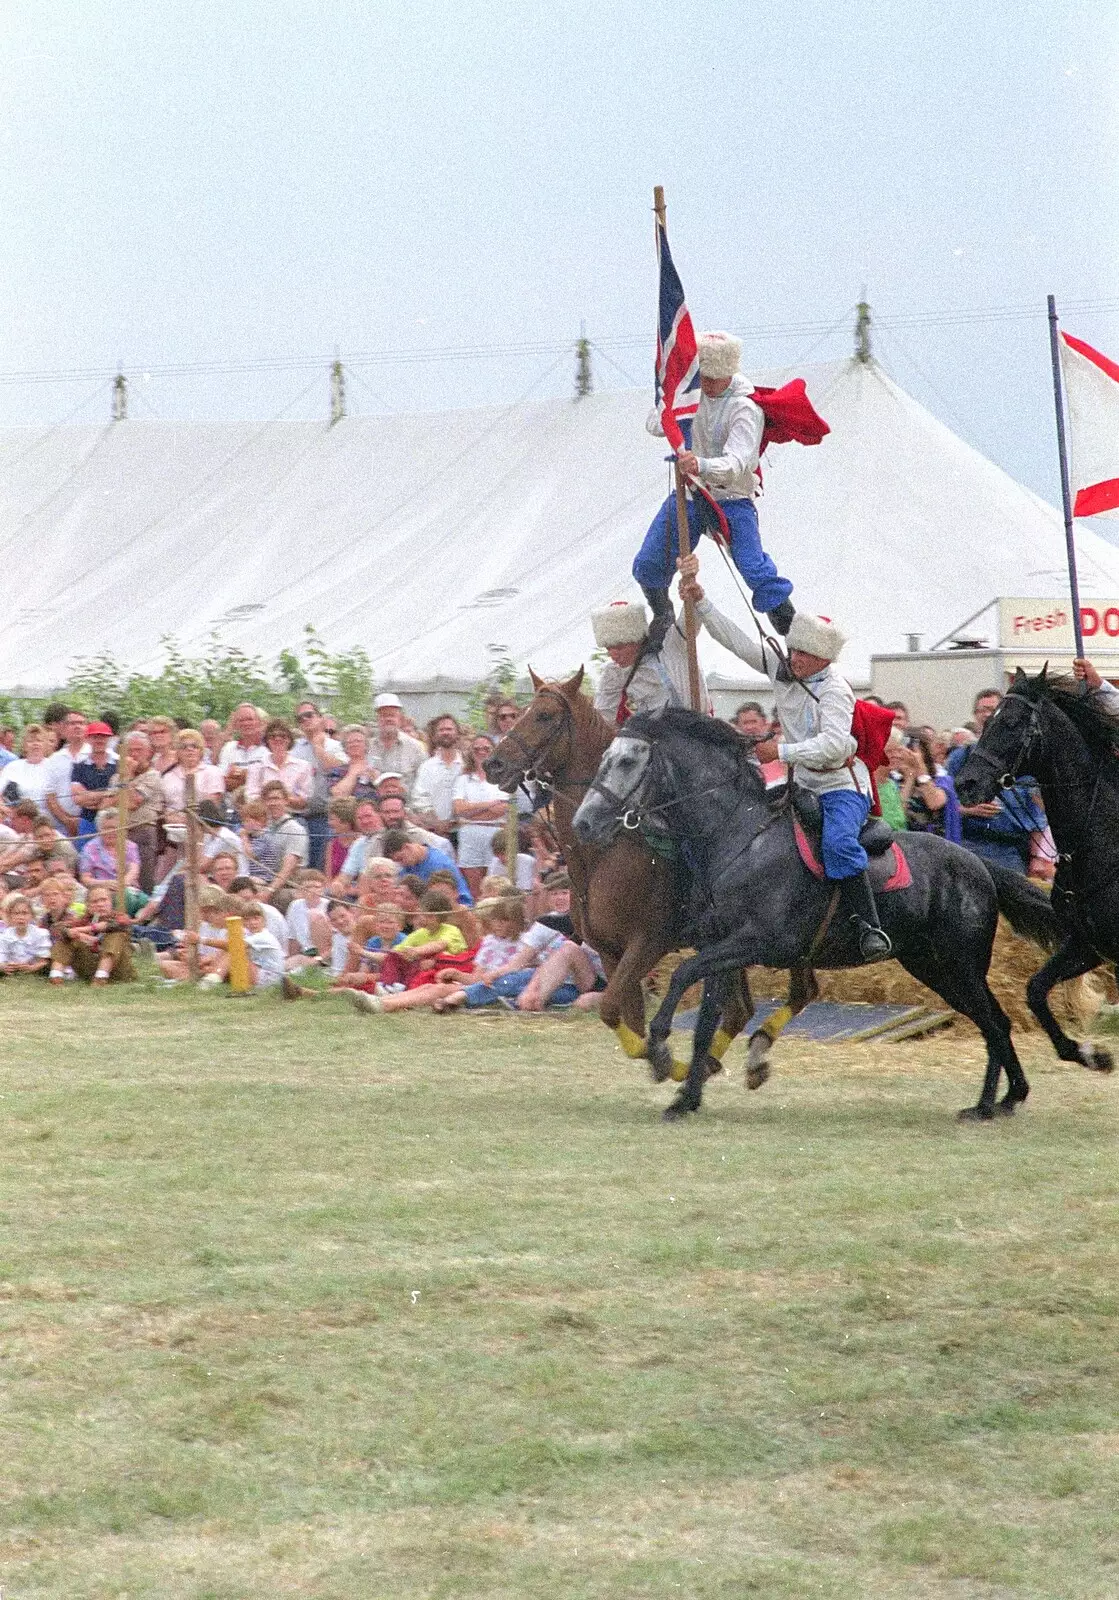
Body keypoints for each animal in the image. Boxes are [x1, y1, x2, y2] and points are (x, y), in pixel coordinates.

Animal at [573, 713, 1062, 1126]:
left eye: (627, 761)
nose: (583, 824)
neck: (740, 839)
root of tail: (978, 865)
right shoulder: (722, 949)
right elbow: (706, 1018)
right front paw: (686, 1097)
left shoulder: (758, 942)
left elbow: (681, 977)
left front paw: (658, 1048)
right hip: (933, 968)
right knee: (992, 1022)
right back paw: (1000, 1100)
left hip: (960, 966)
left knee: (994, 1022)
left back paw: (994, 1102)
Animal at [954, 665, 1119, 1075]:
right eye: (987, 720)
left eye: (1011, 722)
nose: (965, 784)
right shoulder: (1086, 944)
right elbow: (1035, 990)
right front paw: (1089, 1053)